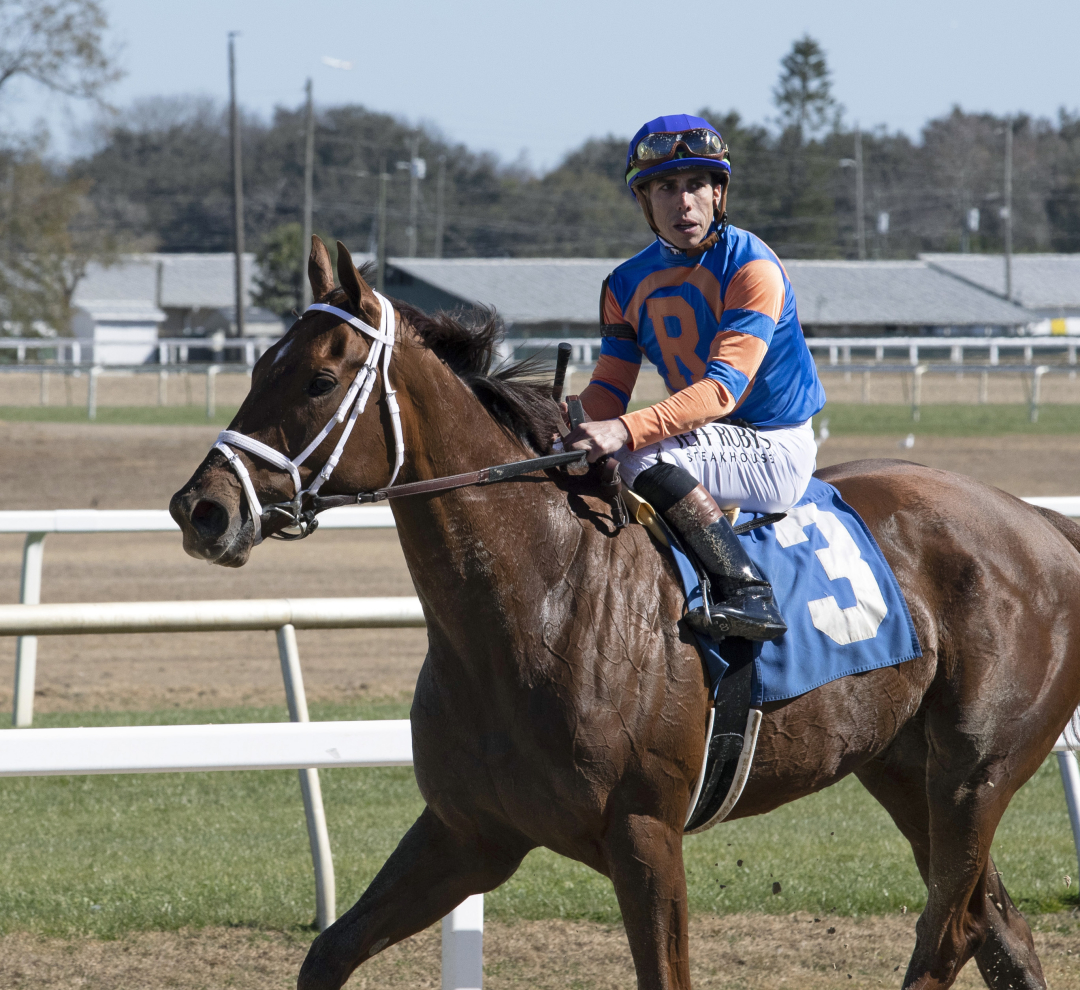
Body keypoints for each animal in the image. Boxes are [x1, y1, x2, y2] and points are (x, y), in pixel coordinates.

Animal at [170, 238, 1080, 990]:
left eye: (319, 380)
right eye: (256, 367)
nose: (201, 508)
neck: (539, 605)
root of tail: (1040, 521)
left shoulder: (645, 834)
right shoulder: (469, 833)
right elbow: (328, 953)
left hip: (974, 771)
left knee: (951, 929)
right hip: (900, 767)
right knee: (996, 927)